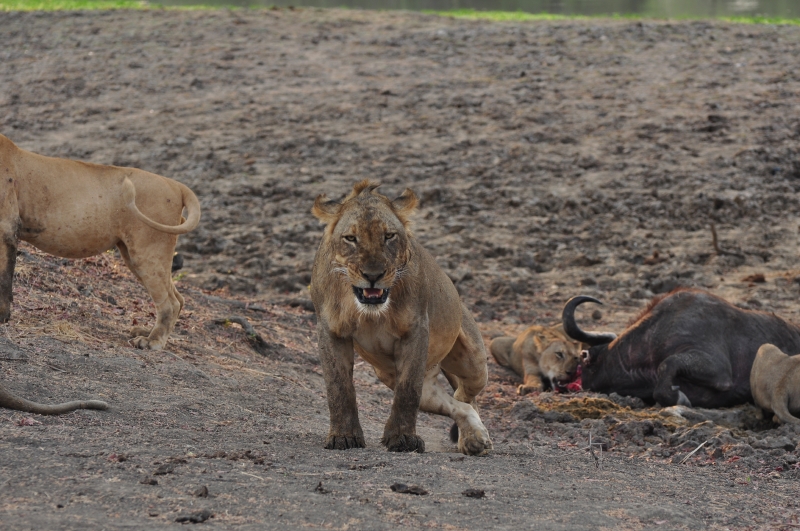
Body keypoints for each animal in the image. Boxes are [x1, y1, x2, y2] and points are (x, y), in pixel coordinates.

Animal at [0, 134, 200, 350]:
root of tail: (177, 185)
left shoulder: (7, 227)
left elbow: (3, 278)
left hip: (149, 251)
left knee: (170, 303)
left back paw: (151, 341)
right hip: (133, 255)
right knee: (178, 298)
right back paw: (147, 332)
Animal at [310, 180, 492, 456]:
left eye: (389, 236)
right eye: (351, 238)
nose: (372, 275)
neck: (371, 312)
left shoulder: (416, 329)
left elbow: (408, 391)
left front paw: (403, 439)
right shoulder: (330, 330)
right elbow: (338, 387)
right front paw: (344, 437)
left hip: (474, 363)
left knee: (465, 395)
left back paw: (473, 436)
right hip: (398, 378)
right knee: (454, 404)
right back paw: (473, 435)